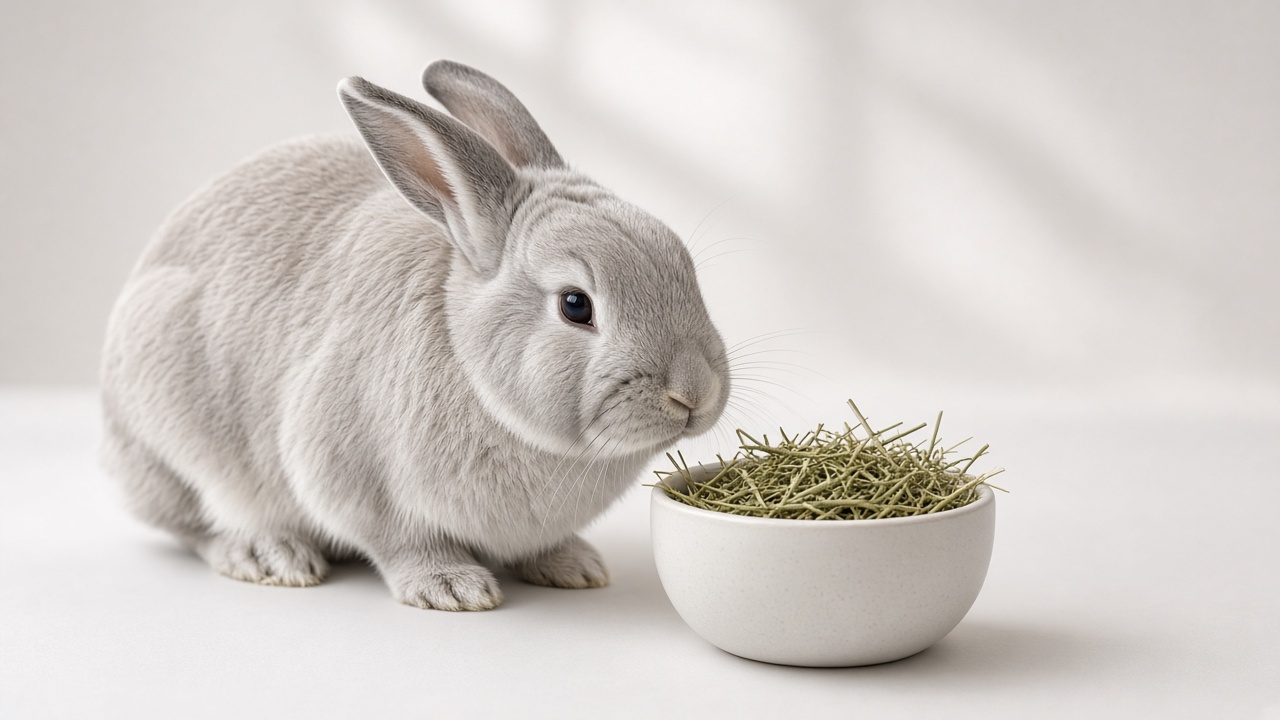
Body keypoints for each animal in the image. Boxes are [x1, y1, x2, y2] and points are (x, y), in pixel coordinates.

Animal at [99, 60, 729, 611]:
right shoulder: (347, 473)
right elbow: (400, 542)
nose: (694, 394)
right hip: (173, 436)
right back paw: (268, 554)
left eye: (683, 265)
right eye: (576, 306)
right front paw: (451, 588)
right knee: (194, 525)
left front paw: (574, 566)